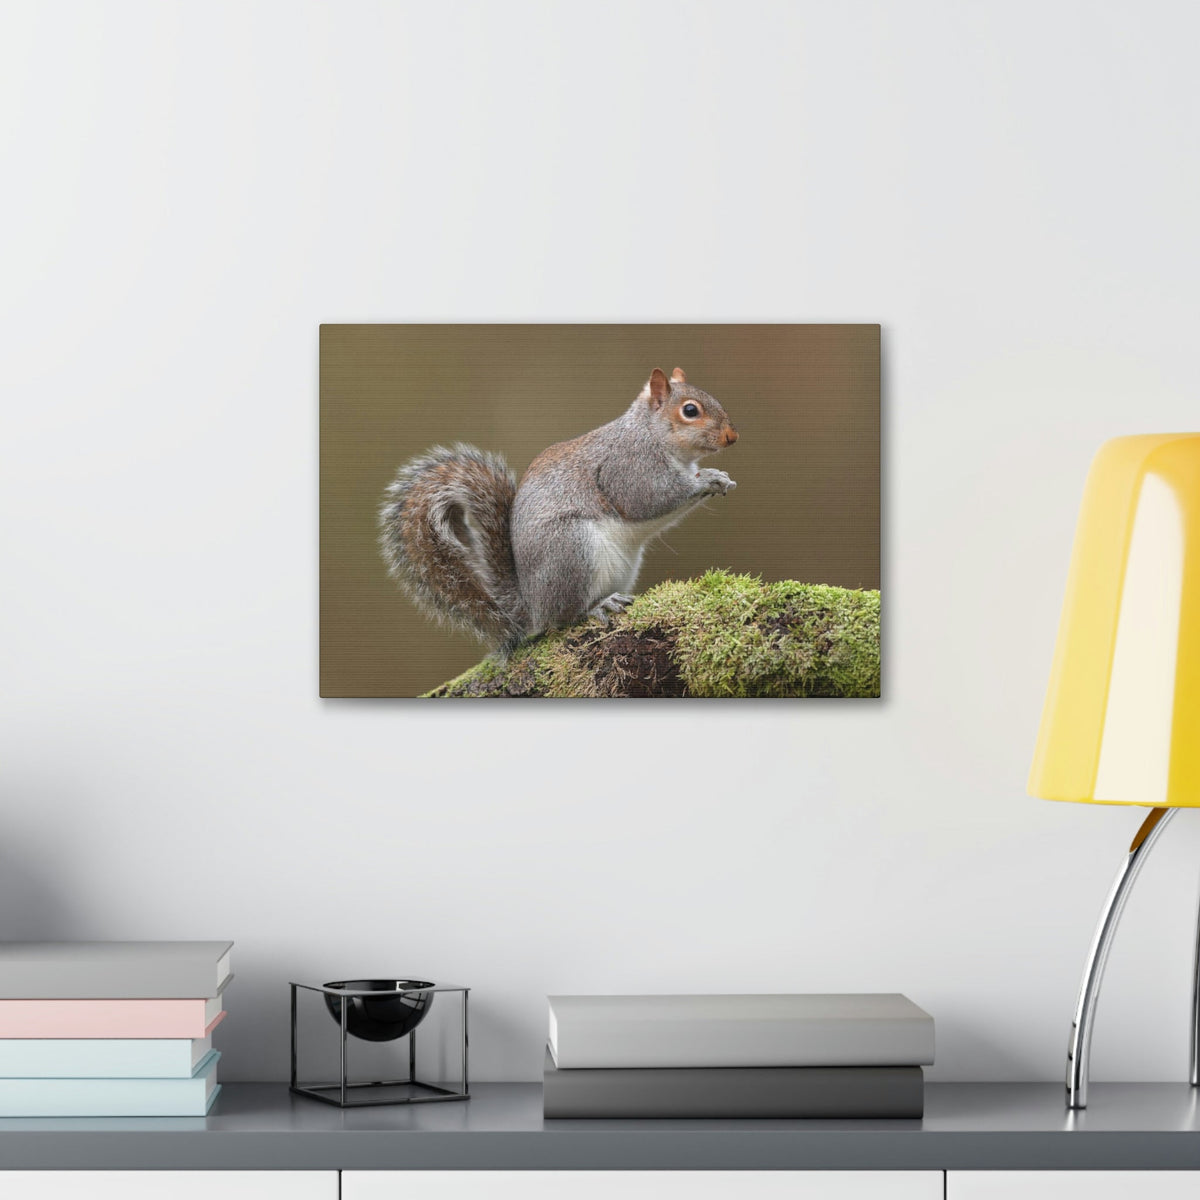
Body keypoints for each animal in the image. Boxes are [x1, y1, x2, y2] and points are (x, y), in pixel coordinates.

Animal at [378, 366, 739, 654]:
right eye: (690, 410)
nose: (732, 437)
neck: (649, 433)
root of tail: (532, 605)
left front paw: (719, 477)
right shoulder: (626, 467)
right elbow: (647, 499)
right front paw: (706, 479)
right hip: (571, 550)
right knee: (564, 617)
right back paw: (597, 606)